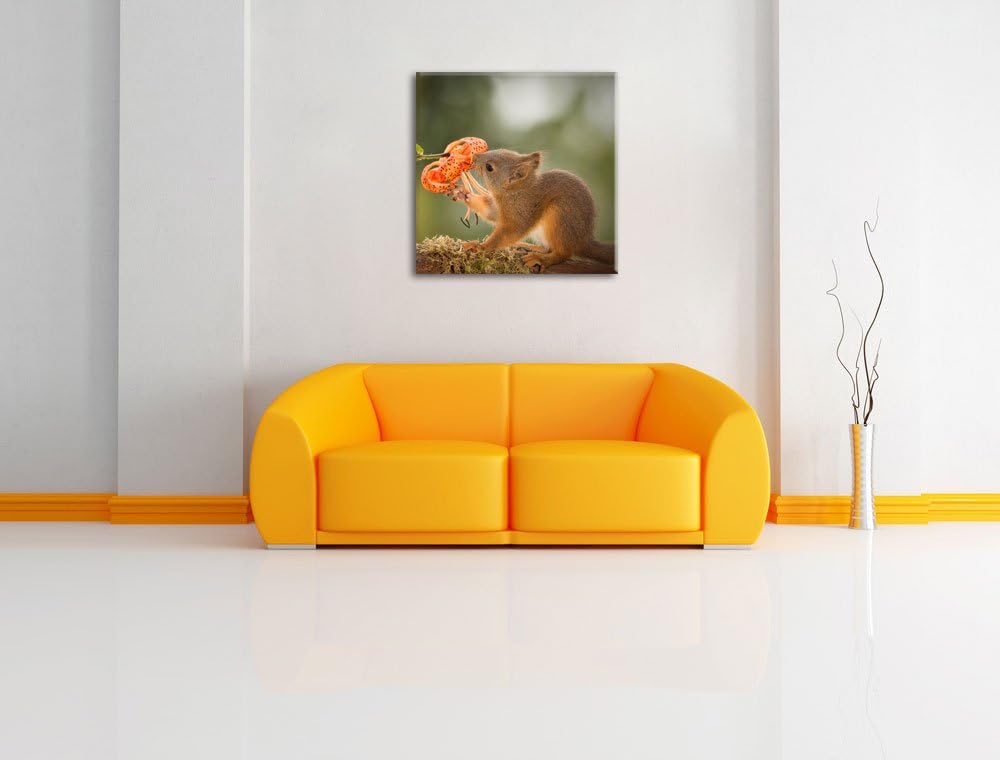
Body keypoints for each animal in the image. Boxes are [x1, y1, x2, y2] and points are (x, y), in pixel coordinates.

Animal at [451, 149, 615, 271]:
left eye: (489, 167)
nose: (474, 156)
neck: (514, 192)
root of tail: (583, 241)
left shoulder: (522, 210)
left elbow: (510, 232)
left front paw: (480, 247)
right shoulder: (500, 209)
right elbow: (491, 213)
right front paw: (464, 195)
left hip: (560, 217)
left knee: (562, 253)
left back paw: (541, 259)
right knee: (546, 247)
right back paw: (527, 246)